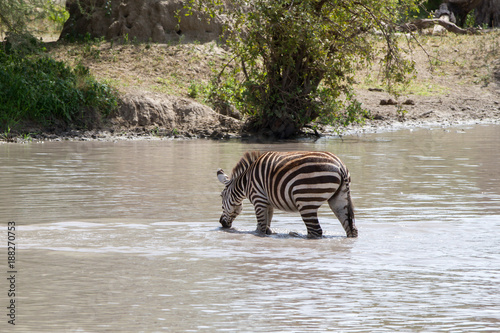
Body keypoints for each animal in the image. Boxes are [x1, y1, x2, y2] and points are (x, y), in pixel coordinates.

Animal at [217, 150, 358, 239]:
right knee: (351, 228)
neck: (246, 182)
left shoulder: (258, 199)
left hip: (306, 201)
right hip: (340, 199)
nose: (221, 223)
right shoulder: (268, 202)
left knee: (315, 231)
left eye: (221, 196)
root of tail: (340, 166)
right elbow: (267, 225)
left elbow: (260, 228)